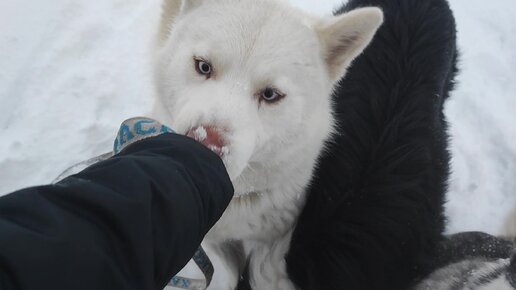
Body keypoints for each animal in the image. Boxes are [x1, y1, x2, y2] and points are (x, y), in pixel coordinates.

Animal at [151, 1, 380, 288]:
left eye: (270, 94)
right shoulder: (212, 239)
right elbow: (228, 270)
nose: (204, 142)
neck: (236, 198)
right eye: (203, 66)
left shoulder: (275, 236)